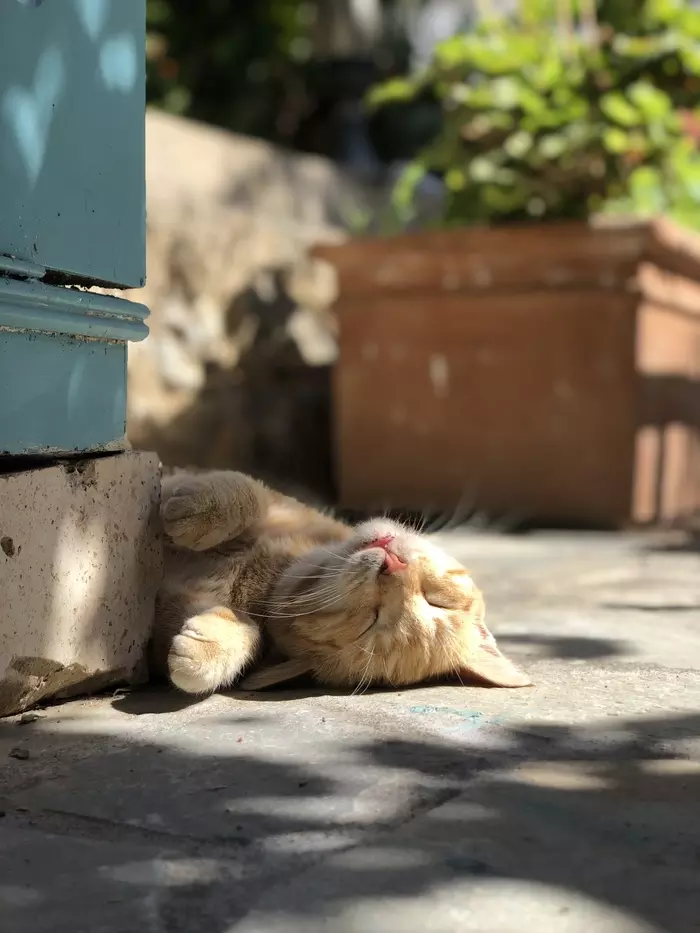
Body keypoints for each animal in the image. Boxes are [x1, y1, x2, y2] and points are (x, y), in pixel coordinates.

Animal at [149, 474, 532, 692]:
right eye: (436, 598)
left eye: (372, 621)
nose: (393, 564)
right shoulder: (275, 504)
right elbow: (245, 492)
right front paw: (195, 510)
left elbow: (246, 637)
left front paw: (208, 651)